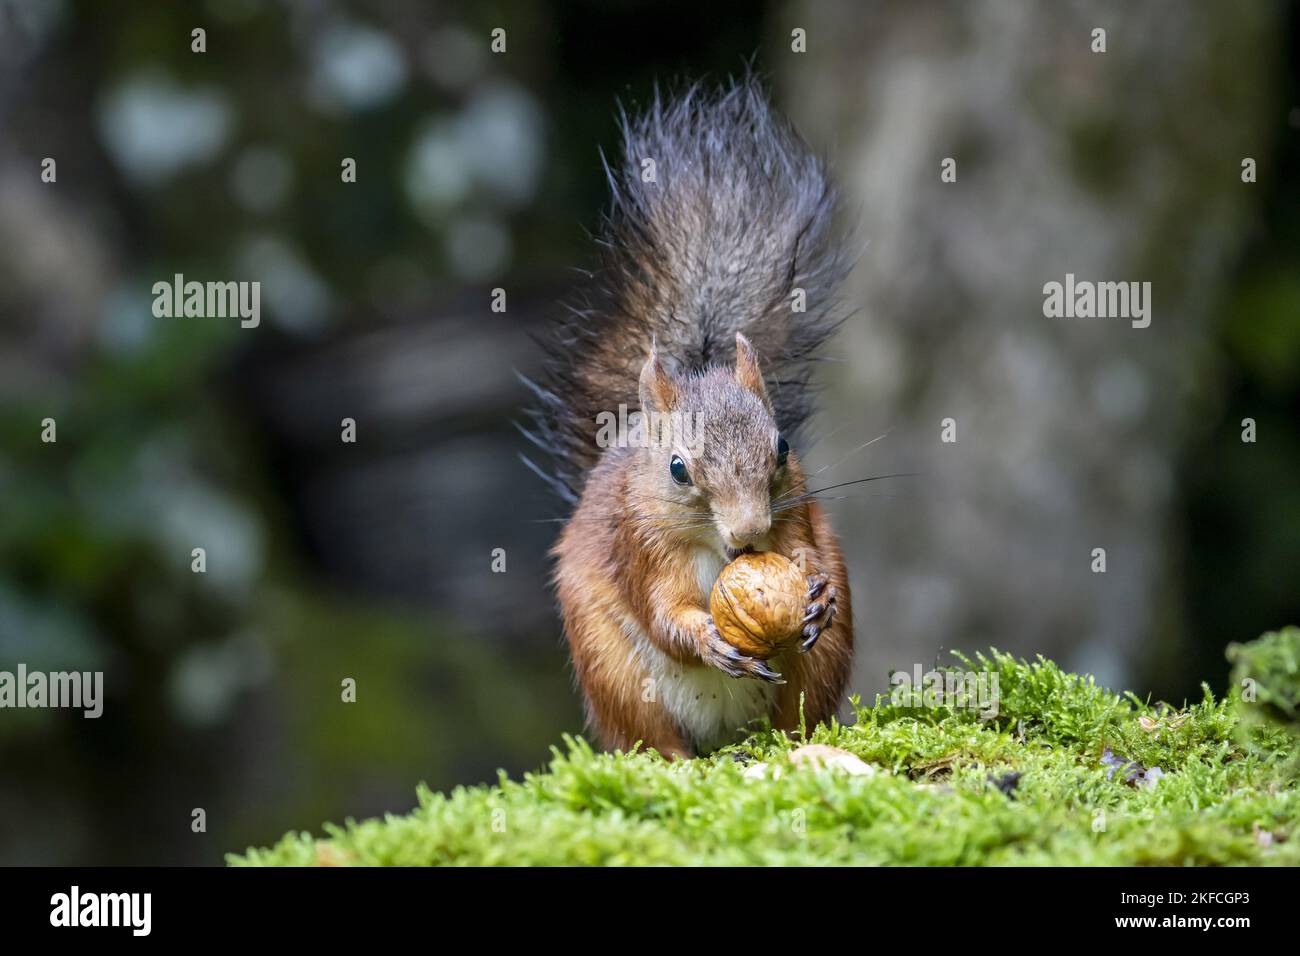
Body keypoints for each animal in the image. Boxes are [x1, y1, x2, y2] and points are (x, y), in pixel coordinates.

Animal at [522, 79, 854, 759]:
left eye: (783, 448)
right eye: (677, 470)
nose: (750, 532)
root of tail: (727, 737)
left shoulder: (795, 515)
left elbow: (804, 554)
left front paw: (817, 591)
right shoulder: (640, 546)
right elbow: (664, 616)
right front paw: (705, 637)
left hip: (820, 664)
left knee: (798, 715)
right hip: (612, 670)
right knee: (649, 736)